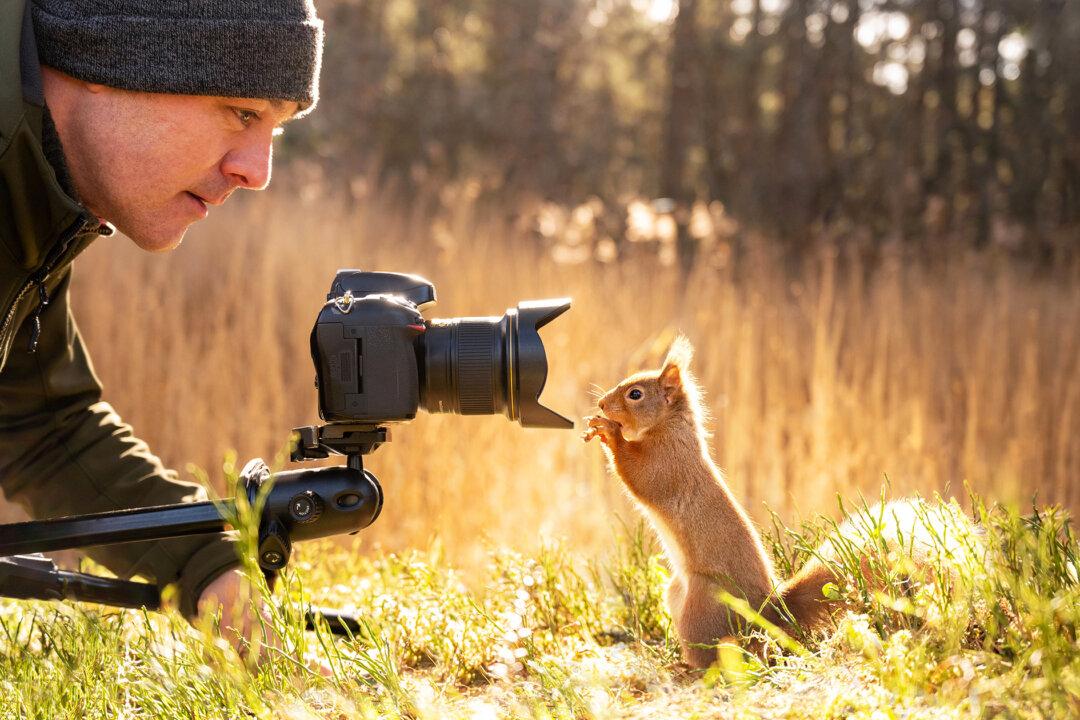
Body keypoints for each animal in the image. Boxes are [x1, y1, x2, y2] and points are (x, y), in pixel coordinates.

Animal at [583, 336, 980, 668]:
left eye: (635, 394)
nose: (601, 403)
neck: (670, 429)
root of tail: (769, 614)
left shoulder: (667, 467)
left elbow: (639, 476)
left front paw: (609, 432)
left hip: (703, 604)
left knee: (717, 655)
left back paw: (689, 668)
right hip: (678, 594)